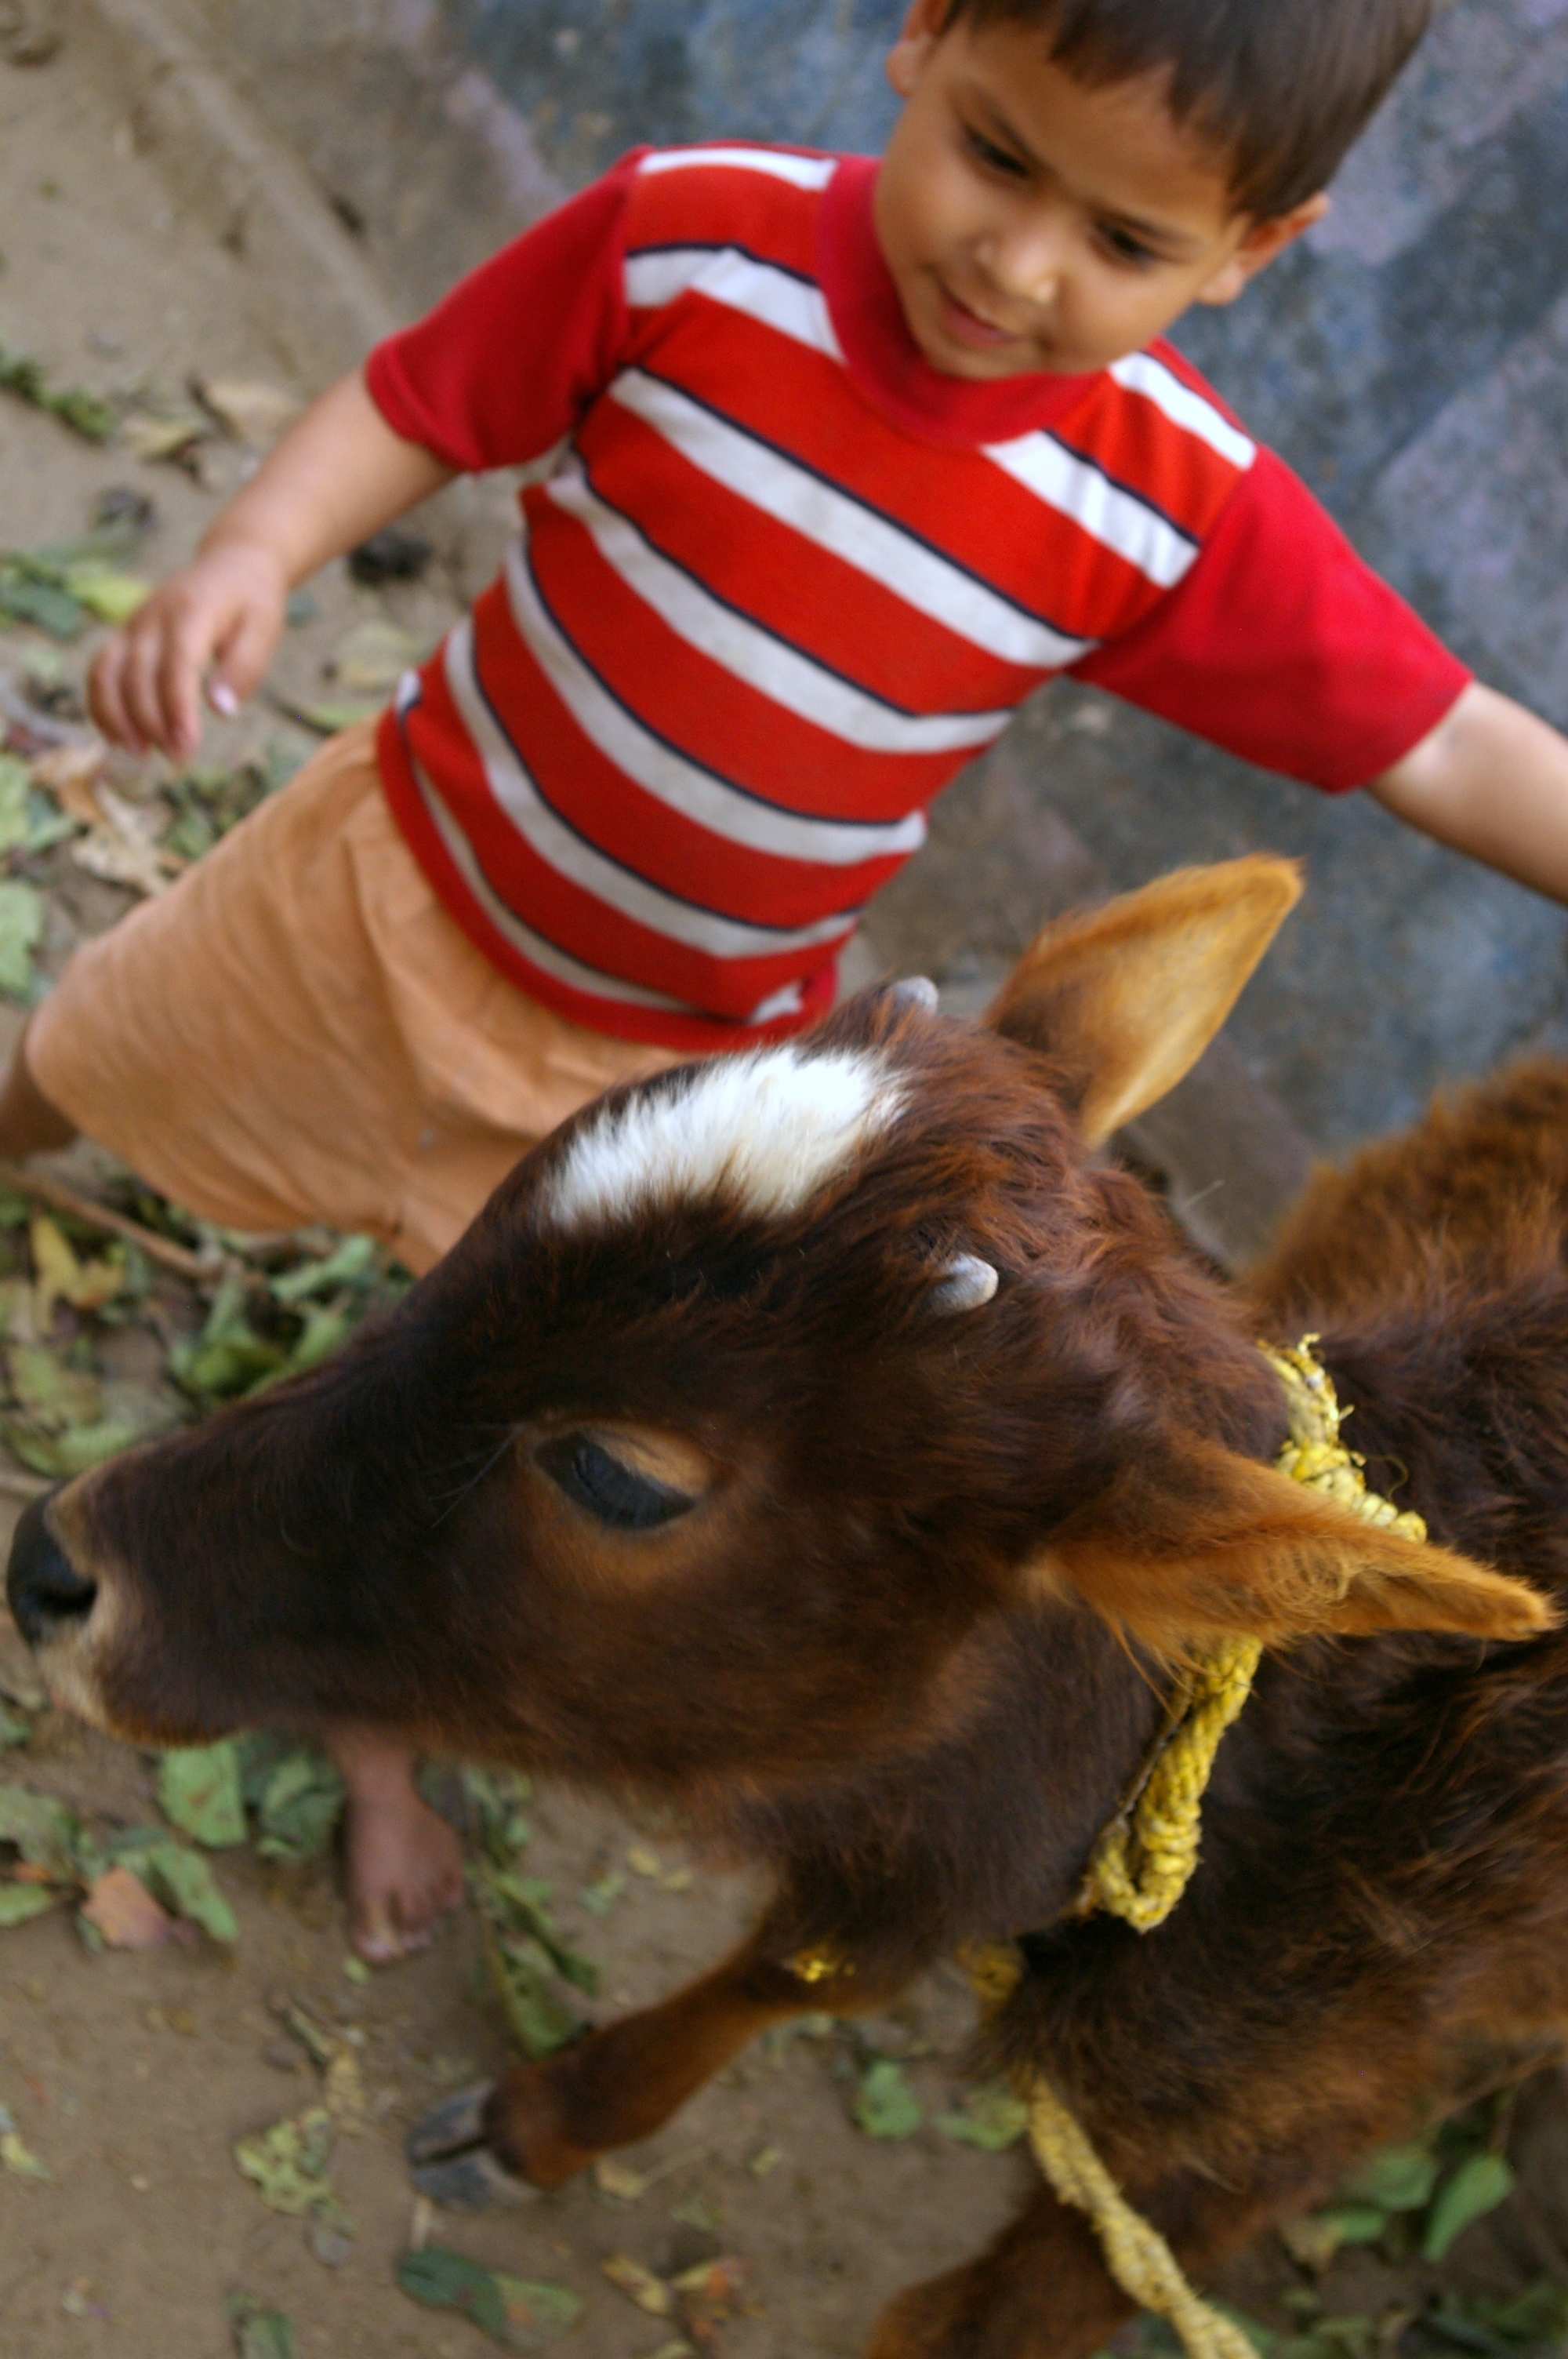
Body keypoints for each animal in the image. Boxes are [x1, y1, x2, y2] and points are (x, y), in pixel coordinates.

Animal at [7, 855, 1564, 2359]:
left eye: (617, 1474)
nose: (54, 1565)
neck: (1321, 1776)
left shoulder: (1263, 2124)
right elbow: (799, 1966)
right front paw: (544, 2119)